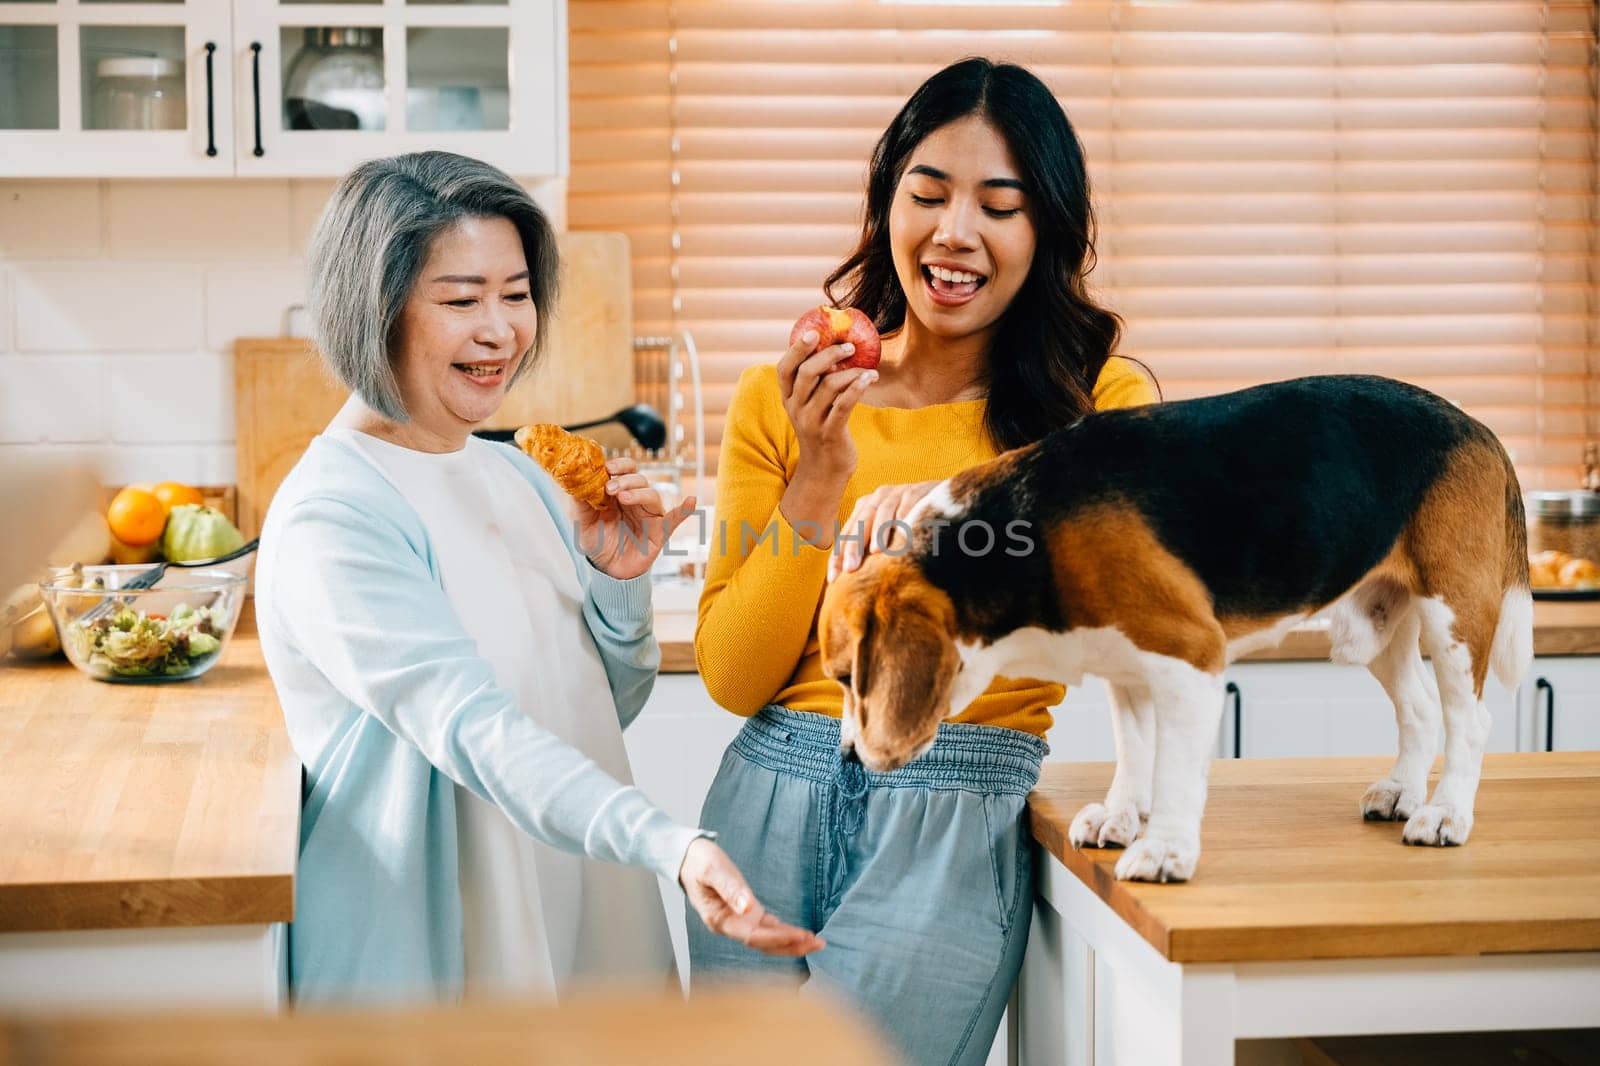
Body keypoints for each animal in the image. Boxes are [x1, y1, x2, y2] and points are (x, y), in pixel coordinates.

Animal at [825, 372, 1536, 877]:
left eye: (848, 678)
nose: (851, 758)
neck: (1022, 529)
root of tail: (1478, 426)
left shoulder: (1190, 658)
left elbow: (1173, 769)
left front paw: (1165, 848)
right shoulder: (1127, 666)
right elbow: (1135, 751)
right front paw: (1120, 816)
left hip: (1452, 614)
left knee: (1470, 719)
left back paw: (1445, 814)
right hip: (1374, 624)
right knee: (1419, 709)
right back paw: (1402, 792)